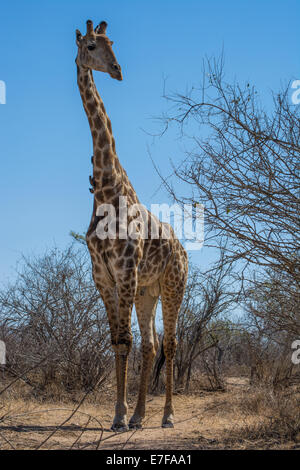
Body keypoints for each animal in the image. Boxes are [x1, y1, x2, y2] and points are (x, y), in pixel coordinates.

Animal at [75, 19, 188, 430]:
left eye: (113, 42)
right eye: (91, 46)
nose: (118, 70)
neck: (106, 191)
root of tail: (184, 251)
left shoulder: (125, 270)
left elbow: (124, 341)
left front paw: (120, 417)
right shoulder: (103, 276)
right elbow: (118, 341)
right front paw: (121, 415)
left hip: (173, 287)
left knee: (170, 343)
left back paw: (167, 415)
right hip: (147, 292)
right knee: (151, 344)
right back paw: (141, 415)